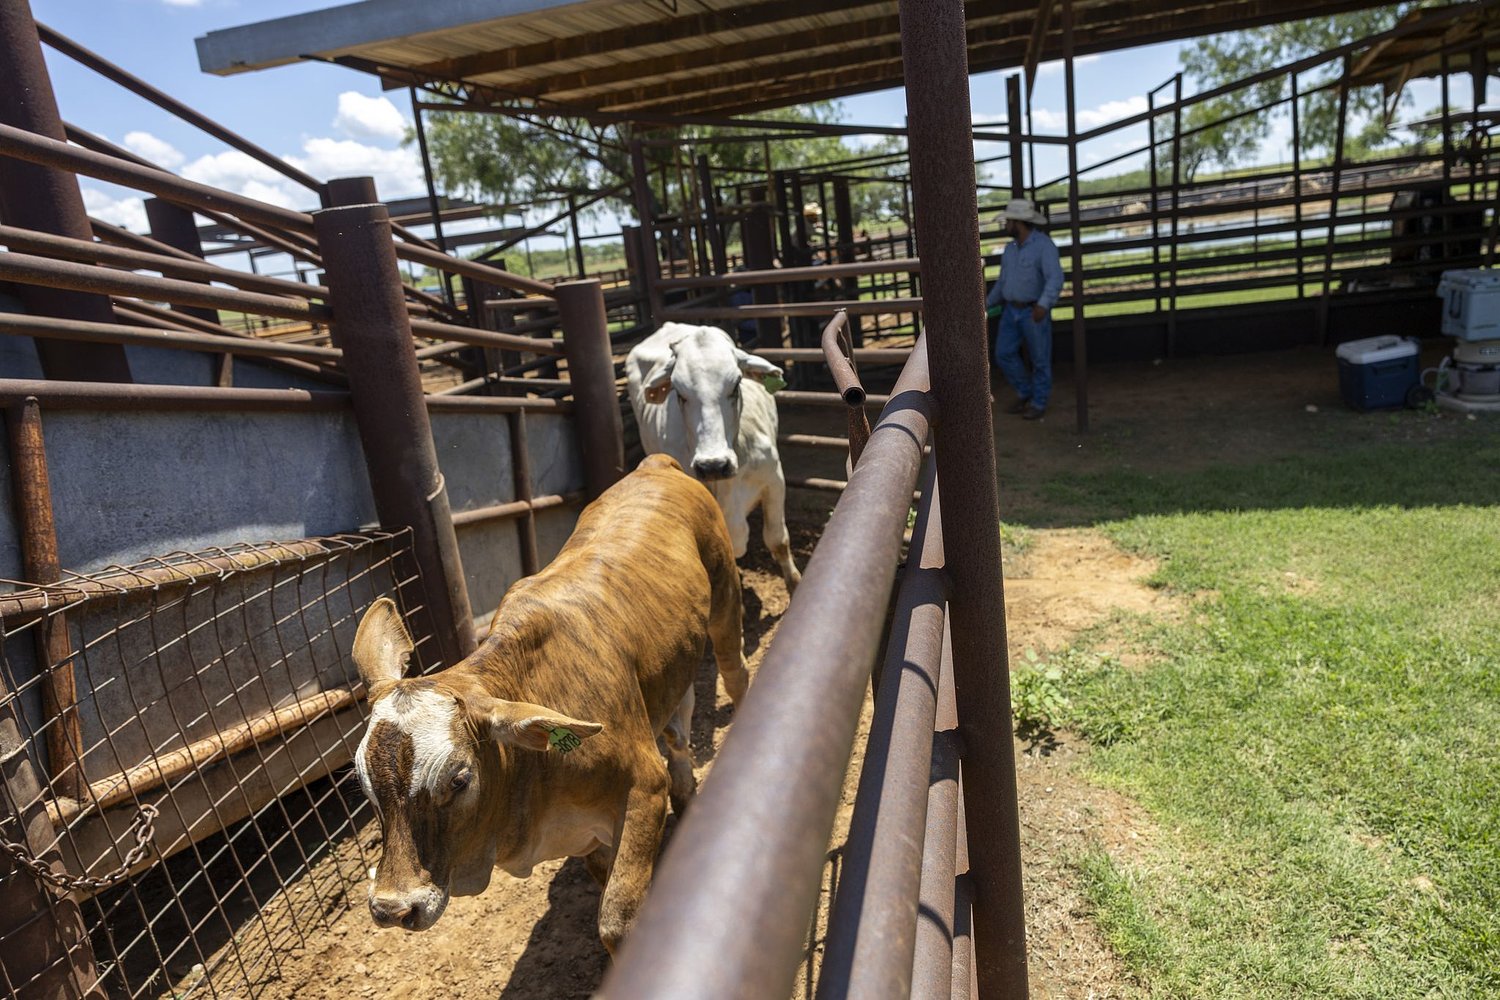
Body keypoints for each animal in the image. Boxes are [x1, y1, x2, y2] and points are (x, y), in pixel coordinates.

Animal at [350, 455, 749, 954]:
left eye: (459, 779)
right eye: (364, 785)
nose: (393, 908)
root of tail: (656, 463)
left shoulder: (644, 787)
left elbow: (617, 920)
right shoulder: (590, 836)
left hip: (726, 600)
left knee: (736, 674)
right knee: (678, 731)